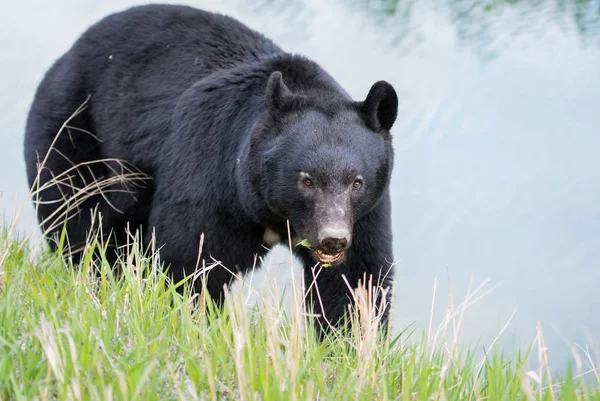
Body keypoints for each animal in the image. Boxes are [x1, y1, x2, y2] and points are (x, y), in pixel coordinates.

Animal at [23, 4, 398, 332]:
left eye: (357, 183)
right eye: (306, 180)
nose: (333, 239)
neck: (268, 213)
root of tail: (68, 53)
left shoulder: (366, 214)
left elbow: (356, 280)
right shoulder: (212, 175)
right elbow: (191, 258)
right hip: (73, 128)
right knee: (75, 214)